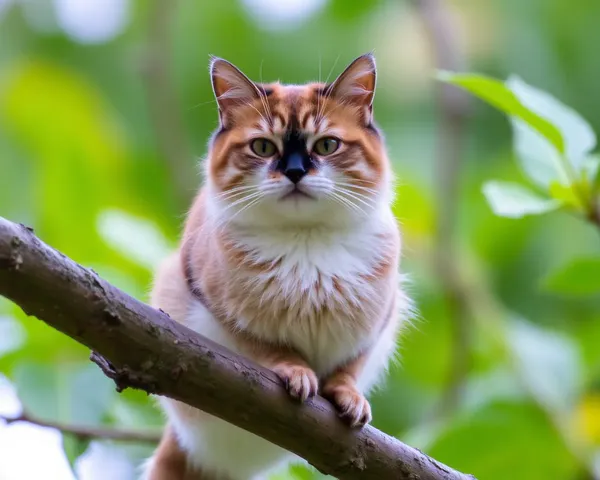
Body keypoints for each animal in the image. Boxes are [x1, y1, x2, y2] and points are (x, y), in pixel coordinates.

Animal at [143, 53, 412, 480]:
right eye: (263, 146)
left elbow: (349, 370)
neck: (306, 246)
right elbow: (268, 347)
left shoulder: (380, 322)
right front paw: (297, 371)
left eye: (327, 144)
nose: (295, 172)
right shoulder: (220, 311)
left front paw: (350, 398)